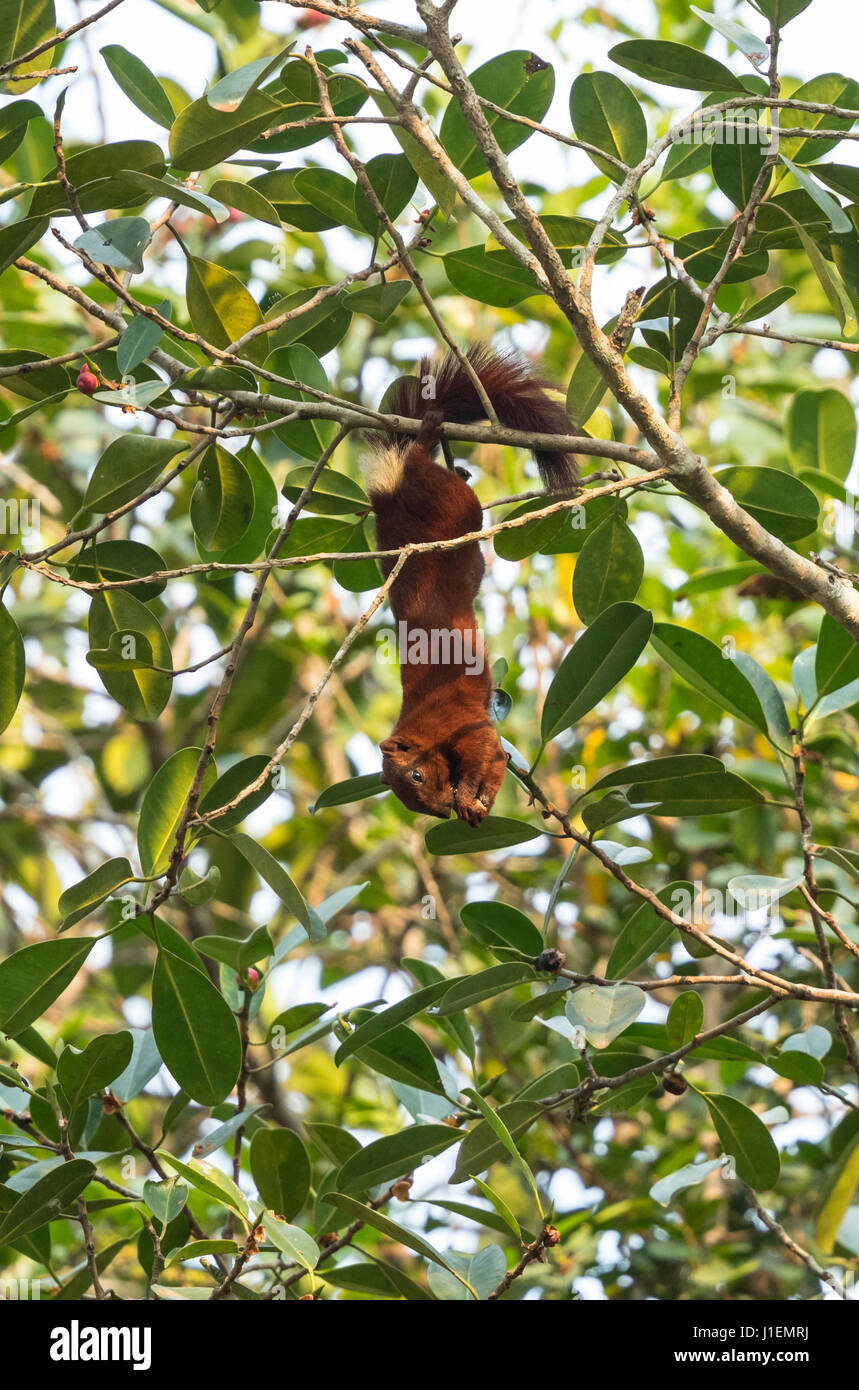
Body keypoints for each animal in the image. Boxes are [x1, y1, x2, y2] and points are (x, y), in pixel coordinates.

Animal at [365, 344, 579, 827]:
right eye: (408, 800)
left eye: (416, 776)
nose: (441, 812)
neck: (420, 727)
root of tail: (389, 504)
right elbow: (494, 760)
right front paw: (469, 803)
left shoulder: (460, 719)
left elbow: (487, 754)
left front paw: (470, 799)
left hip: (449, 505)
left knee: (423, 465)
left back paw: (427, 438)